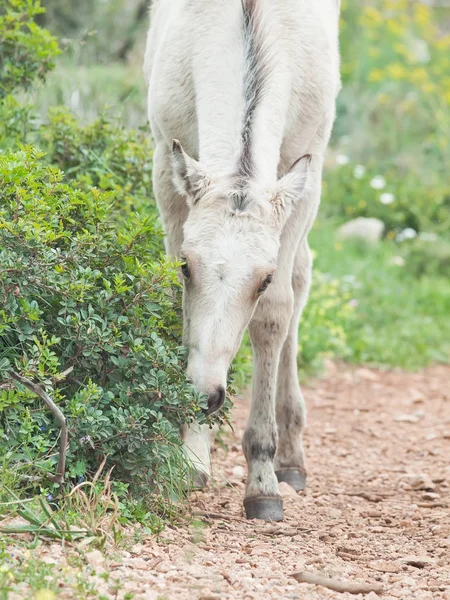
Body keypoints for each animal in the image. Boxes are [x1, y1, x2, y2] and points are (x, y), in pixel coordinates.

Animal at [146, 0, 340, 520]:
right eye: (187, 265)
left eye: (262, 279)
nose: (205, 395)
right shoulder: (165, 160)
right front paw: (189, 459)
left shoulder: (305, 173)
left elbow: (275, 312)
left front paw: (262, 482)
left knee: (302, 279)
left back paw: (292, 459)